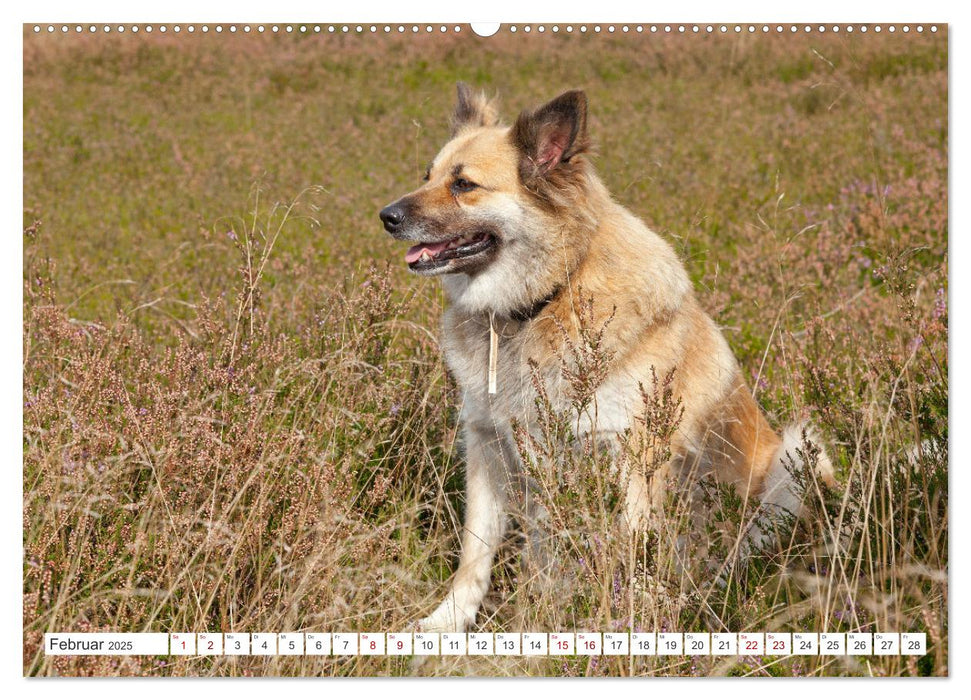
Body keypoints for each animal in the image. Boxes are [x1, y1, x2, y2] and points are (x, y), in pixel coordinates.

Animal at [380, 85, 836, 632]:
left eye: (464, 185)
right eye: (426, 175)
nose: (386, 216)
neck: (545, 300)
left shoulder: (634, 457)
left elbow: (633, 551)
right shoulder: (489, 445)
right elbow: (475, 553)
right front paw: (447, 623)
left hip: (797, 458)